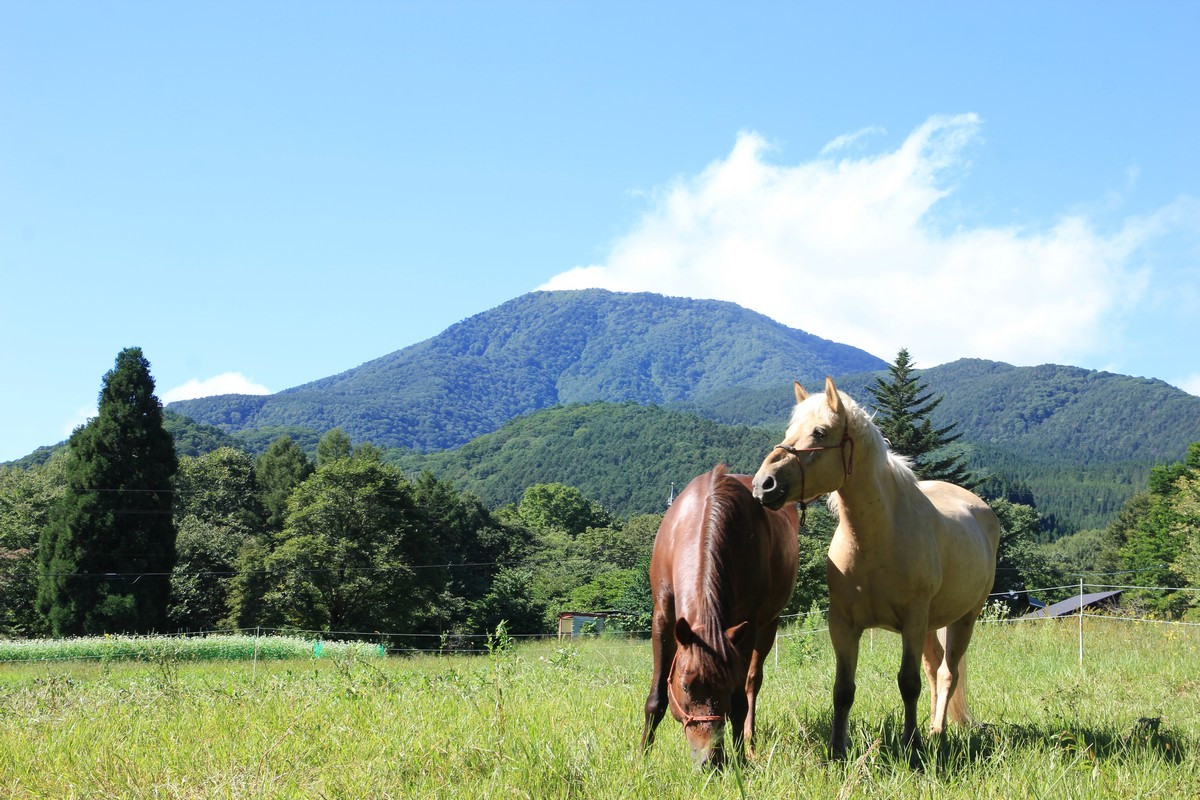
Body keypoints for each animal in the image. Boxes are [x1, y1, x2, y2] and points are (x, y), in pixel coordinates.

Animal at [643, 465, 801, 767]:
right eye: (686, 686)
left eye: (726, 686)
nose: (711, 759)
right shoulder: (662, 617)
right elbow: (656, 698)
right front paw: (641, 757)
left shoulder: (748, 626)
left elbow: (739, 703)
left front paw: (740, 760)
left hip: (768, 626)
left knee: (753, 683)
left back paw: (750, 741)